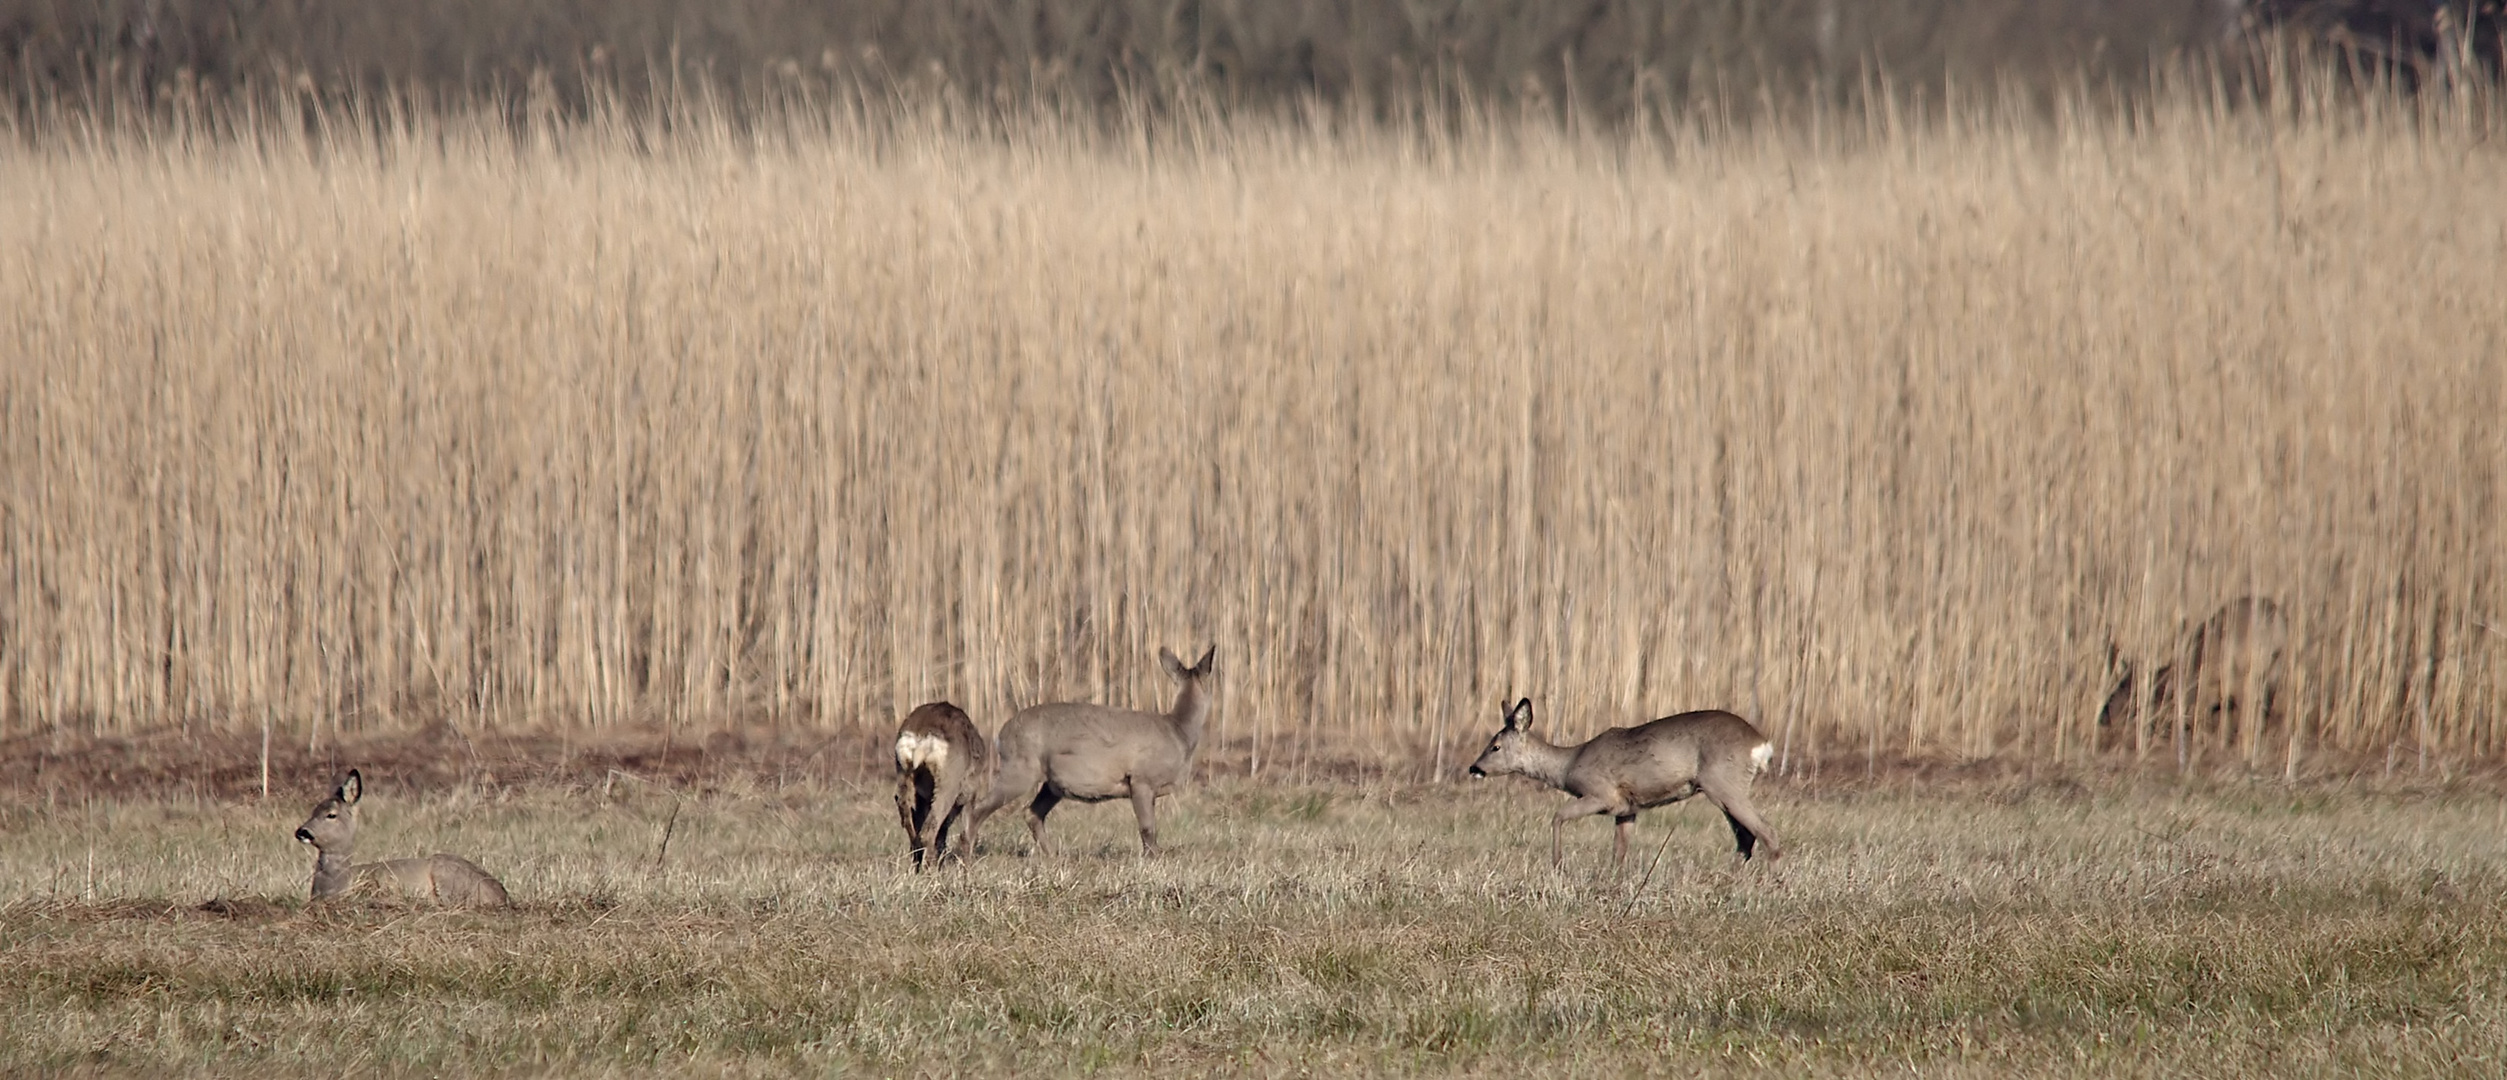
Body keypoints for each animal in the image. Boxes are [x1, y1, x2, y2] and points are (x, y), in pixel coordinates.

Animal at [290, 771, 511, 907]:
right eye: (313, 810)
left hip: (447, 877)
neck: (338, 882)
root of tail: (501, 893)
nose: (302, 832)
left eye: (331, 815)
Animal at [887, 701, 992, 872]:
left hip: (904, 772)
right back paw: (932, 873)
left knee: (912, 826)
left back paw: (919, 869)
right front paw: (967, 873)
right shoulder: (970, 794)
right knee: (929, 831)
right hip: (949, 781)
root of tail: (921, 735)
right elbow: (966, 835)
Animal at [962, 646, 1218, 856]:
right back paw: (965, 854)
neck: (1178, 732)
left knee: (1032, 813)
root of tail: (1001, 735)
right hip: (1020, 769)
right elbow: (1147, 829)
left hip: (1052, 782)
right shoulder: (1142, 779)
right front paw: (1154, 859)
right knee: (978, 809)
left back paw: (1053, 856)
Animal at [1464, 701, 1784, 872]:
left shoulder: (1600, 794)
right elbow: (1619, 851)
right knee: (1747, 838)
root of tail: (1761, 744)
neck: (1570, 764)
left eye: (1495, 746)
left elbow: (1557, 816)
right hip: (1725, 788)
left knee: (1767, 833)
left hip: (1723, 784)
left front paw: (1557, 864)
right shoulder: (1627, 809)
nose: (1474, 768)